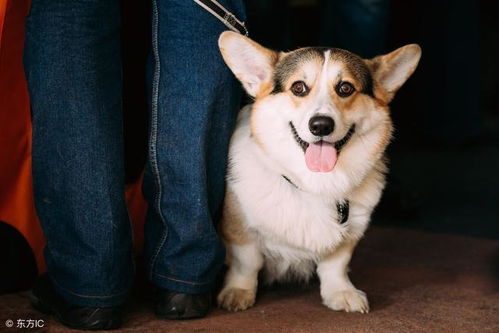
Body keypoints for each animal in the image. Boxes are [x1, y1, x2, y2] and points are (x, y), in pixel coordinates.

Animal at [219, 29, 422, 312]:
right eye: (298, 87)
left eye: (345, 88)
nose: (321, 125)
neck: (316, 183)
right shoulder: (238, 226)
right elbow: (246, 262)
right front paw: (238, 291)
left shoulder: (351, 232)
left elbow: (335, 264)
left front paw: (341, 292)